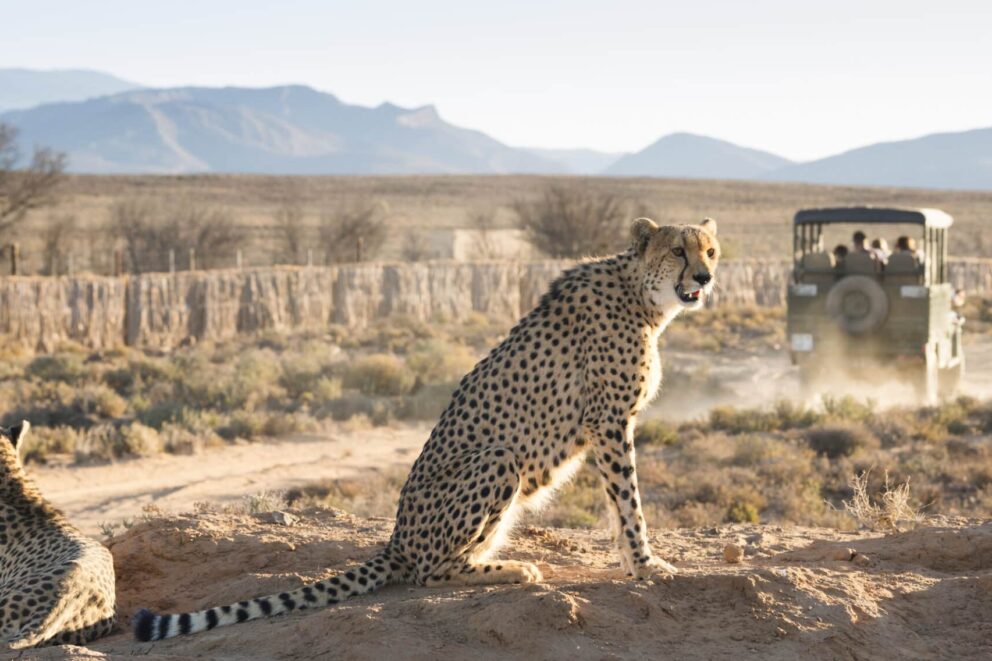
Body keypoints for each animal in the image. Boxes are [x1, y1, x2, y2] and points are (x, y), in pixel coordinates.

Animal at [133, 216, 720, 642]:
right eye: (677, 251)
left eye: (710, 250)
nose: (705, 278)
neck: (641, 297)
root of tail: (397, 537)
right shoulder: (610, 422)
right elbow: (629, 503)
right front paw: (646, 564)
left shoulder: (609, 425)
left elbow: (621, 508)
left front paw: (635, 563)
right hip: (498, 459)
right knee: (429, 571)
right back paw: (512, 570)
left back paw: (496, 559)